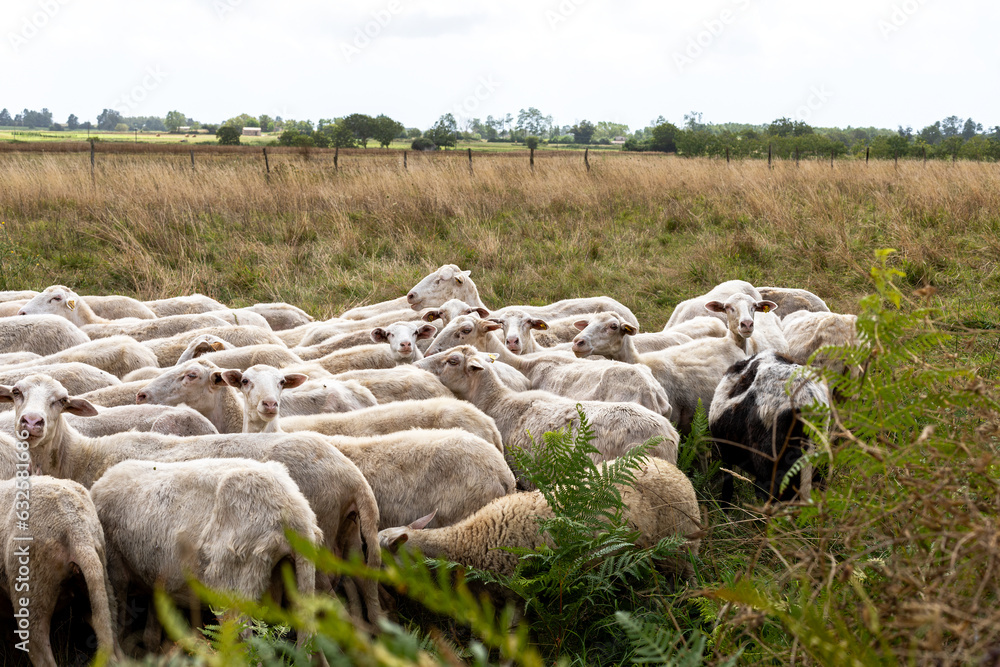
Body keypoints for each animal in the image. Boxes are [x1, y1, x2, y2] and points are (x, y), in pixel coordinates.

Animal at [1, 374, 384, 622]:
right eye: (17, 393)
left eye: (61, 401)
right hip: (346, 539)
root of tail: (351, 475)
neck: (81, 457)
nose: (31, 423)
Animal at [90, 458, 322, 651]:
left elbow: (120, 620)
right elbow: (151, 630)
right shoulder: (156, 580)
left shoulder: (116, 566)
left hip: (230, 581)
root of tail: (294, 511)